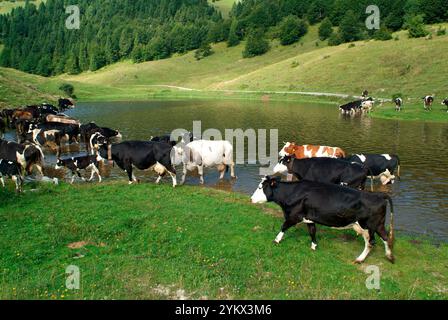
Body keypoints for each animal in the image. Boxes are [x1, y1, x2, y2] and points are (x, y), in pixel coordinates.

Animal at [250, 176, 394, 264]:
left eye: (260, 187)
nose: (251, 199)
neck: (293, 192)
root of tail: (378, 195)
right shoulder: (309, 218)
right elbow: (312, 231)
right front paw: (314, 247)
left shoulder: (294, 216)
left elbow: (284, 226)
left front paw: (276, 240)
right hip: (371, 225)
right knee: (379, 239)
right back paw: (378, 257)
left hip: (370, 225)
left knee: (376, 241)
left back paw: (375, 257)